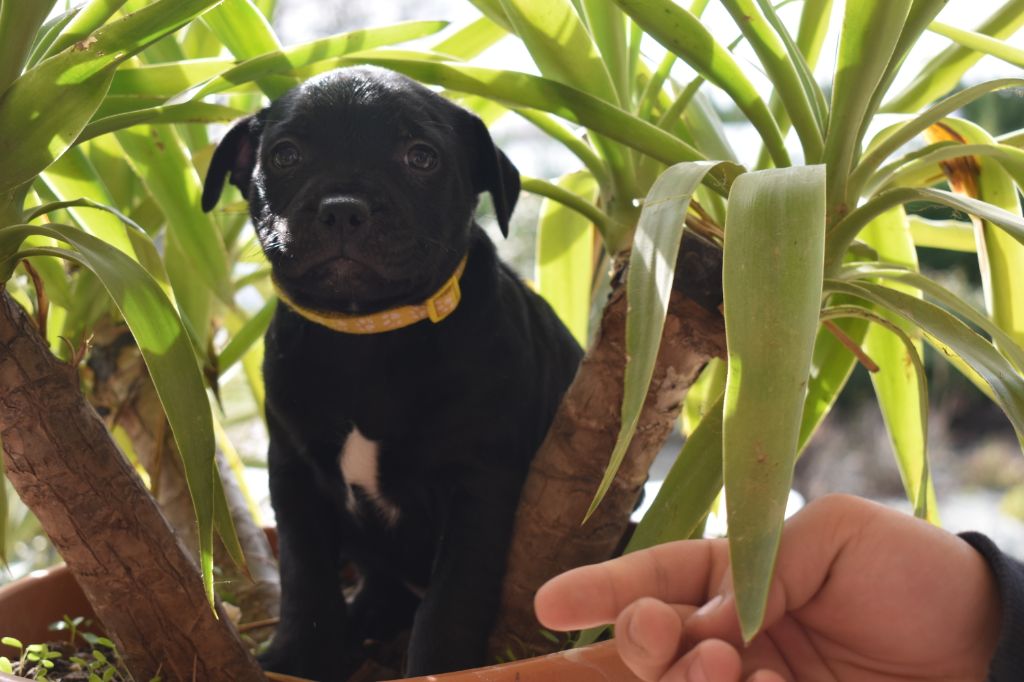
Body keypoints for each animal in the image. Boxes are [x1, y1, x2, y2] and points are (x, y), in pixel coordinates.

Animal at [201, 65, 585, 679]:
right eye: (285, 155)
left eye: (421, 157)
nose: (342, 206)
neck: (367, 334)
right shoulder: (293, 474)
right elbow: (304, 578)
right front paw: (297, 657)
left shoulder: (478, 485)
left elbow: (451, 598)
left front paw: (437, 666)